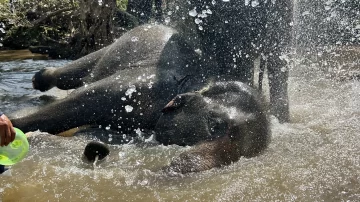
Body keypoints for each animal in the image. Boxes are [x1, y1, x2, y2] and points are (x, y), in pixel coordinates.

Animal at [10, 24, 270, 174]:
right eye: (214, 124)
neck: (201, 83)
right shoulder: (141, 86)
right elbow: (76, 103)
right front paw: (12, 127)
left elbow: (94, 132)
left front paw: (95, 146)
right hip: (119, 42)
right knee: (74, 73)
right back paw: (39, 79)